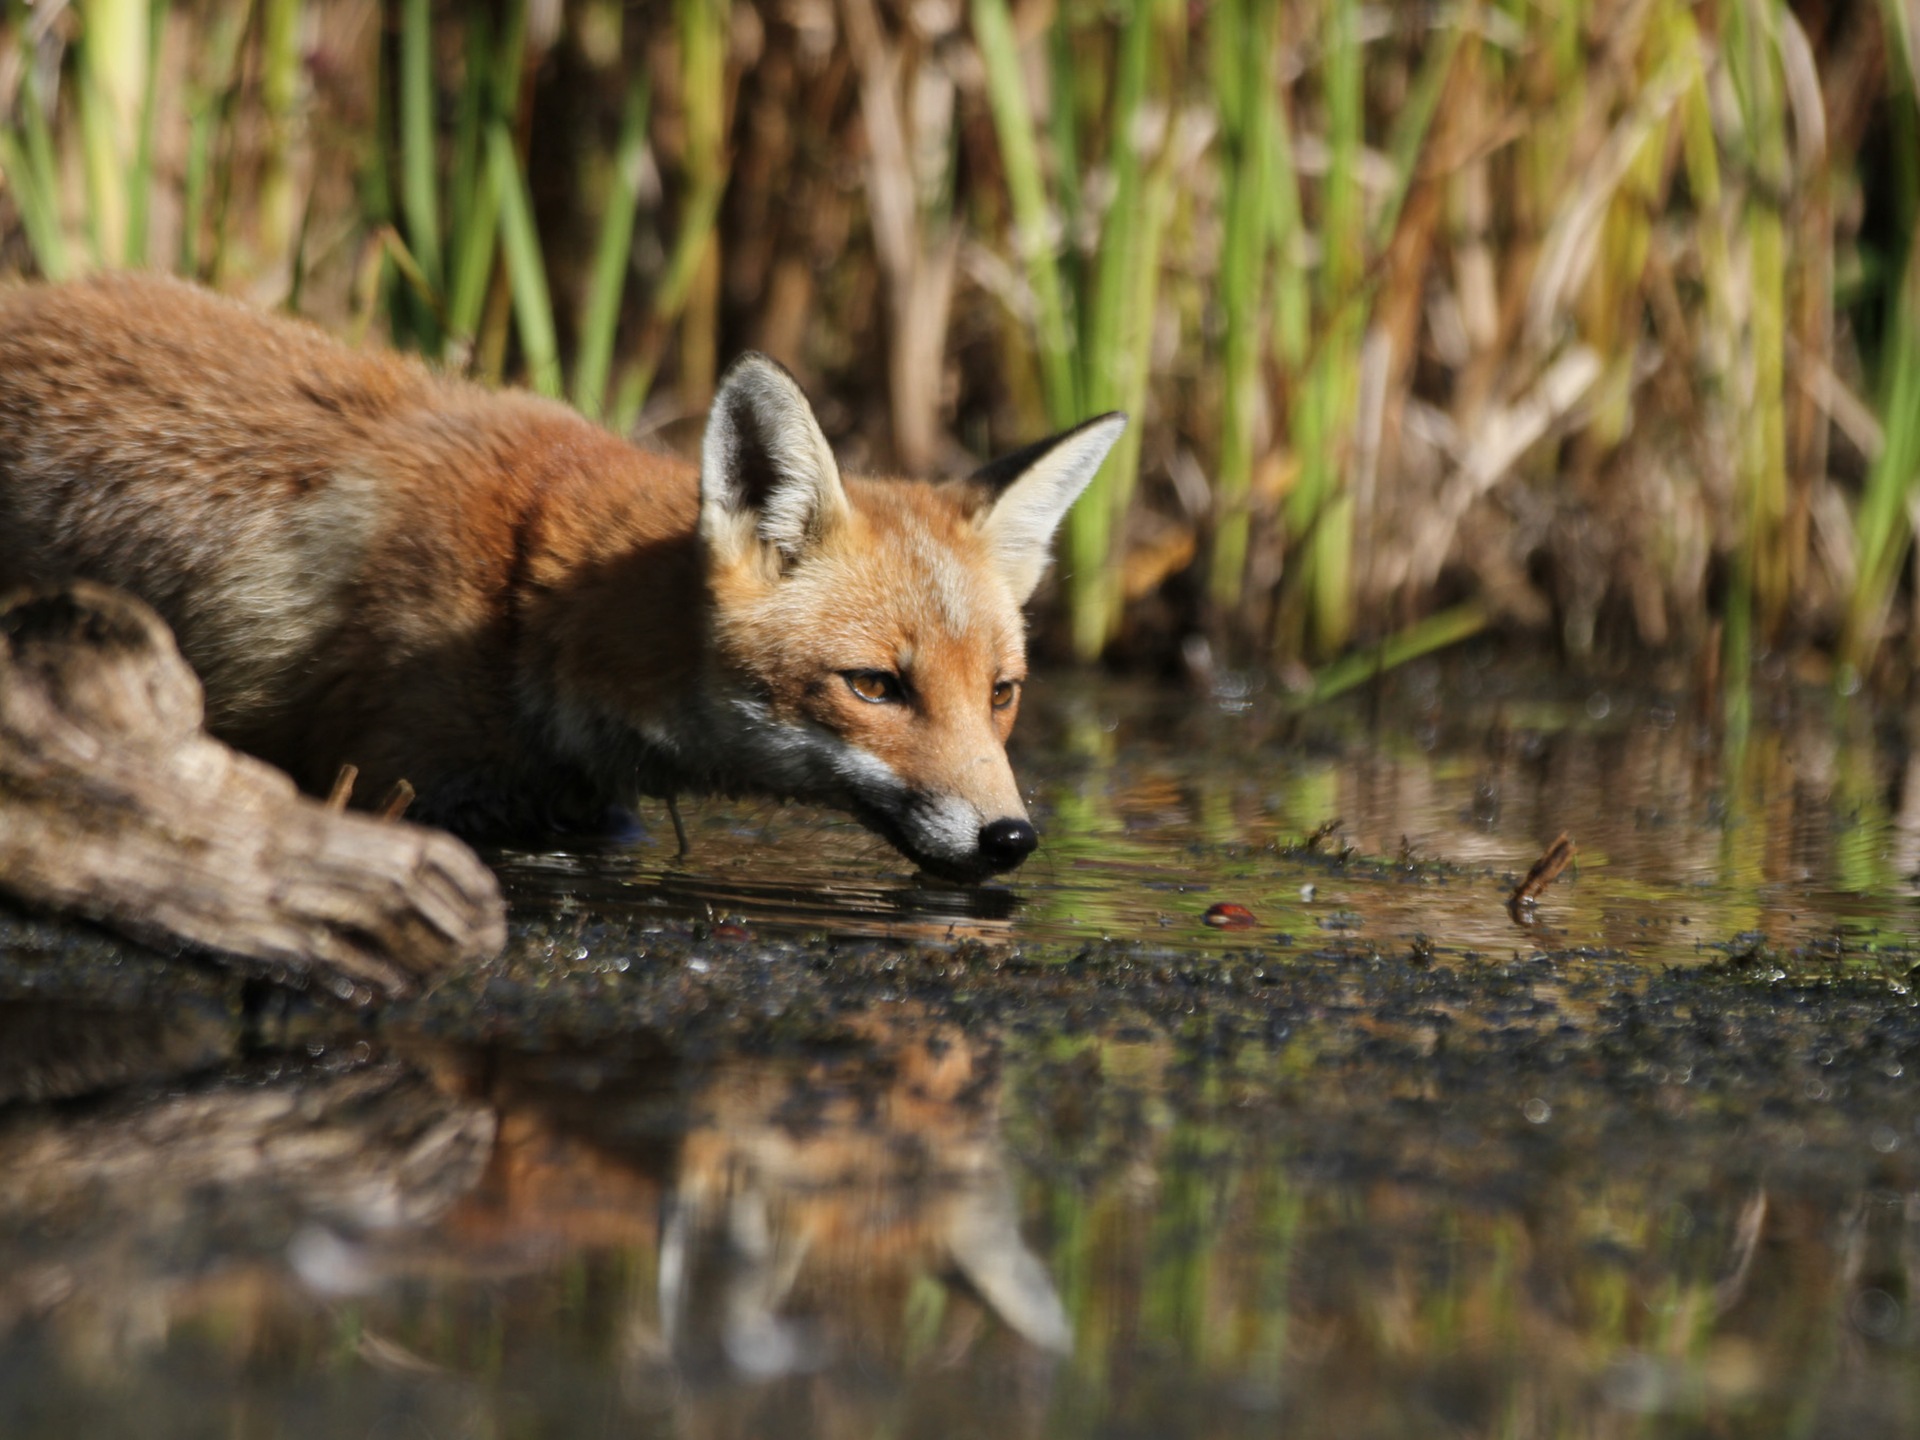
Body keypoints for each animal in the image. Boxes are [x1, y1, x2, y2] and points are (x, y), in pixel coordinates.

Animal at [0, 270, 1121, 879]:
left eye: (1003, 694)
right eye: (876, 687)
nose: (1011, 838)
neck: (523, 608)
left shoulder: (581, 809)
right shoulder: (406, 788)